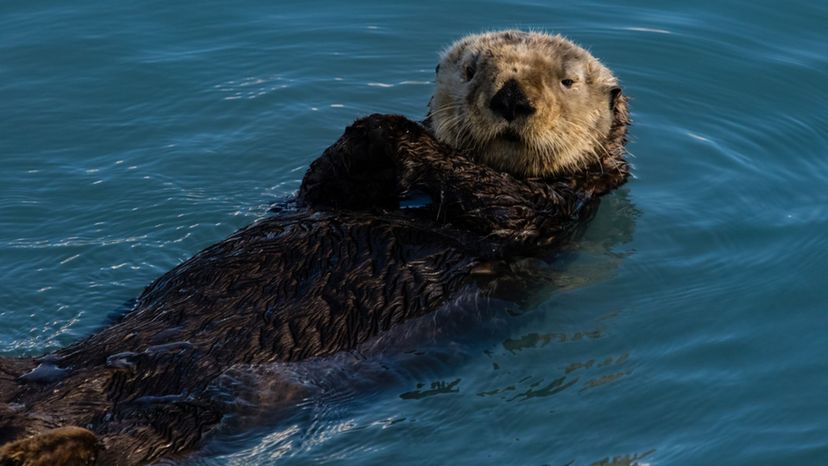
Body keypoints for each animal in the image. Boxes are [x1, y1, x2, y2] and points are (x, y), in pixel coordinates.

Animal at [0, 31, 628, 464]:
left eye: (567, 82)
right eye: (472, 70)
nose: (512, 97)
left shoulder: (552, 210)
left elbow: (499, 200)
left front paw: (402, 134)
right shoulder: (324, 193)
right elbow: (327, 178)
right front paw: (377, 130)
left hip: (199, 411)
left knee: (122, 443)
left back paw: (47, 447)